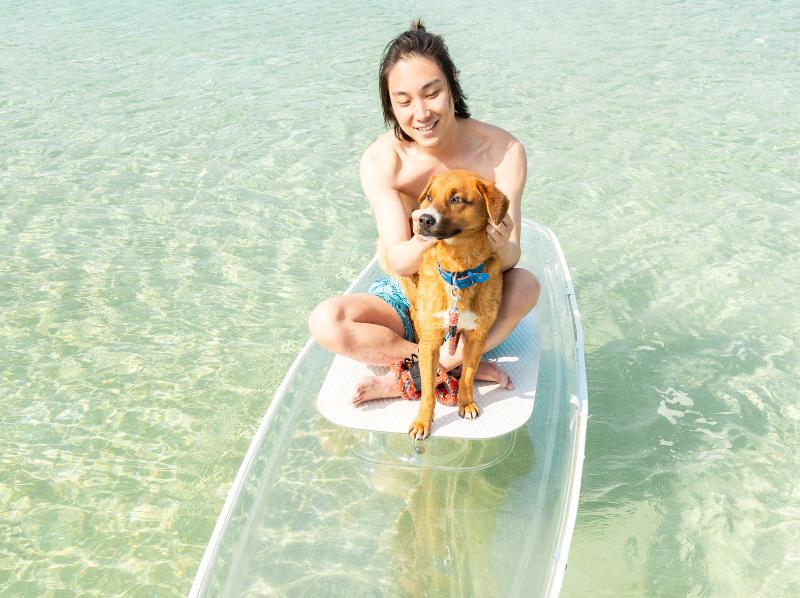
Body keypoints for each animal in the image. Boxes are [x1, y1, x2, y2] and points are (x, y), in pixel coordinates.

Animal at [396, 169, 510, 440]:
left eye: (456, 199)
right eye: (429, 197)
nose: (424, 219)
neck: (459, 271)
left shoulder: (477, 336)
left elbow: (468, 376)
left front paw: (466, 403)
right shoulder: (430, 342)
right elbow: (428, 391)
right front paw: (423, 422)